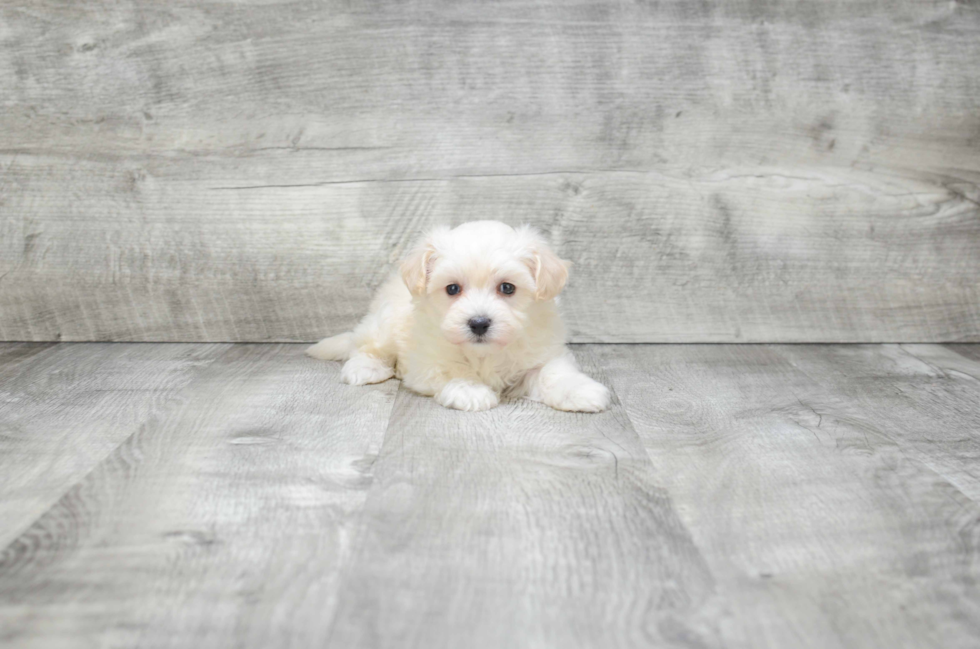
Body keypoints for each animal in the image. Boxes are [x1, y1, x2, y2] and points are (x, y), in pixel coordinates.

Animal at [308, 218, 612, 410]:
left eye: (507, 288)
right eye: (452, 288)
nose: (478, 323)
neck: (484, 352)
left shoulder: (542, 352)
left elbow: (552, 373)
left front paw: (580, 391)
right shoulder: (428, 358)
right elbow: (453, 369)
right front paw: (471, 390)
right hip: (383, 323)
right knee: (365, 346)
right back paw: (365, 367)